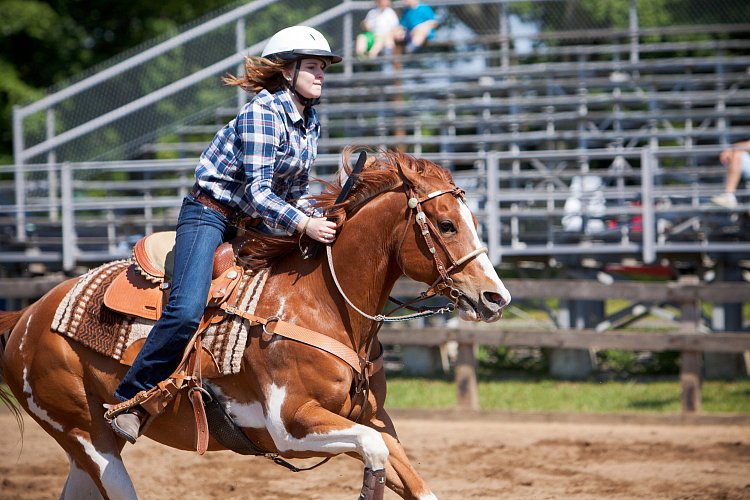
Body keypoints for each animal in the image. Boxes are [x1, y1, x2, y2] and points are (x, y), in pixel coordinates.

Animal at [0, 150, 512, 498]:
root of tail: (28, 315)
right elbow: (374, 452)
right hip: (88, 439)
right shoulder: (290, 428)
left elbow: (409, 473)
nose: (497, 297)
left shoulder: (375, 418)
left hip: (88, 450)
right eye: (446, 225)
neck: (321, 305)